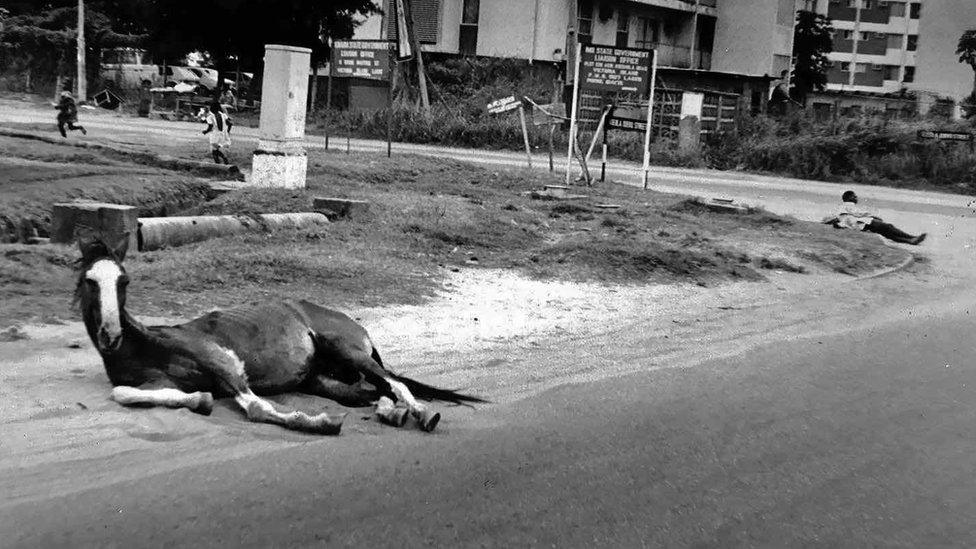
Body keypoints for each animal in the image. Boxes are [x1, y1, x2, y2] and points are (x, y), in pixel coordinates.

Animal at [76, 233, 484, 434]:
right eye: (88, 280)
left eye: (125, 280)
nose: (110, 335)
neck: (145, 344)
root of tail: (357, 326)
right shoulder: (155, 383)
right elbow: (123, 393)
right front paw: (201, 400)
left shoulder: (222, 362)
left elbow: (256, 407)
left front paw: (320, 424)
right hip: (325, 380)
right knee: (373, 393)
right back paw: (394, 415)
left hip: (349, 351)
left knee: (396, 385)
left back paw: (422, 415)